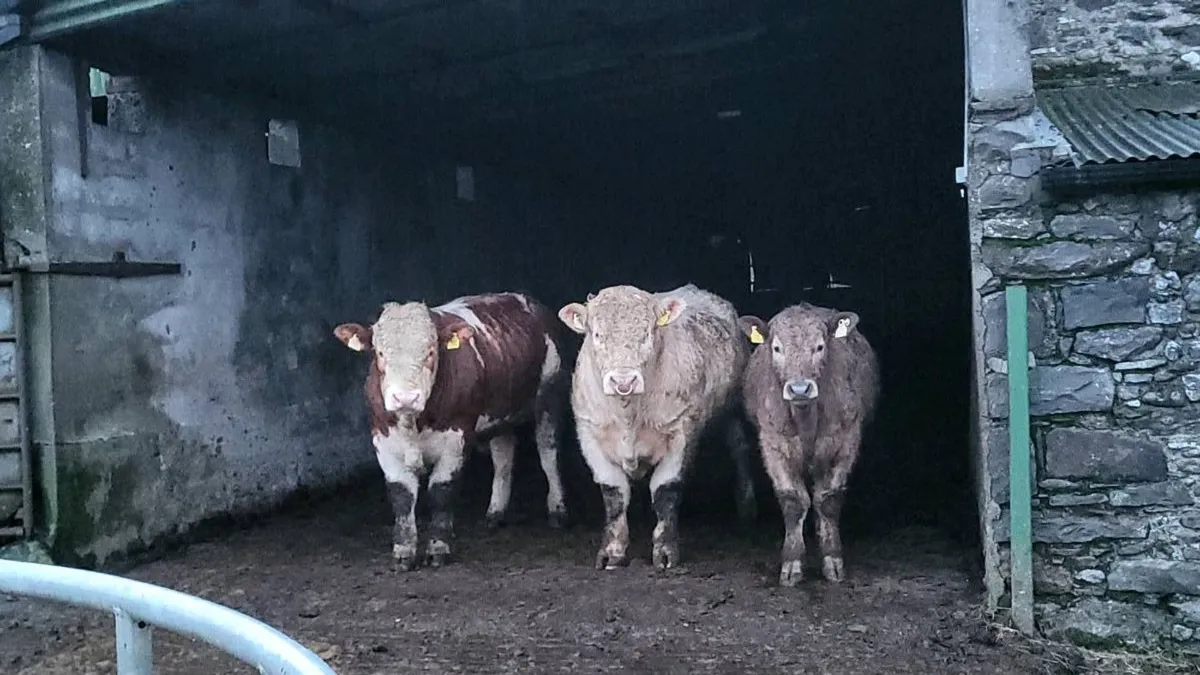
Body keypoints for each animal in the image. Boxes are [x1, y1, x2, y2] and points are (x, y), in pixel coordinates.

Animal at [334, 292, 569, 570]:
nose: (405, 398)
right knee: (503, 455)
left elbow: (441, 492)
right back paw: (495, 513)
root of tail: (524, 299)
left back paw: (557, 510)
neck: (413, 422)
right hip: (500, 411)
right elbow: (401, 495)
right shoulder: (383, 440)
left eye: (430, 352)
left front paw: (438, 549)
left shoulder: (456, 440)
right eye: (379, 353)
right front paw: (403, 553)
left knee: (548, 452)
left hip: (550, 393)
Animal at [558, 283, 758, 571]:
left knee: (739, 447)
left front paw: (664, 551)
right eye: (597, 334)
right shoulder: (588, 432)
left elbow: (665, 490)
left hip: (732, 407)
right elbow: (613, 493)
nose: (623, 381)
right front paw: (611, 552)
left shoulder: (681, 432)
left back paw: (746, 504)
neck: (628, 412)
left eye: (648, 333)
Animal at [738, 302, 880, 587]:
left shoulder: (847, 440)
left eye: (820, 347)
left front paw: (832, 559)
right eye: (777, 348)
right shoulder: (773, 443)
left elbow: (828, 500)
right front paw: (791, 563)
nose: (800, 389)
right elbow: (793, 501)